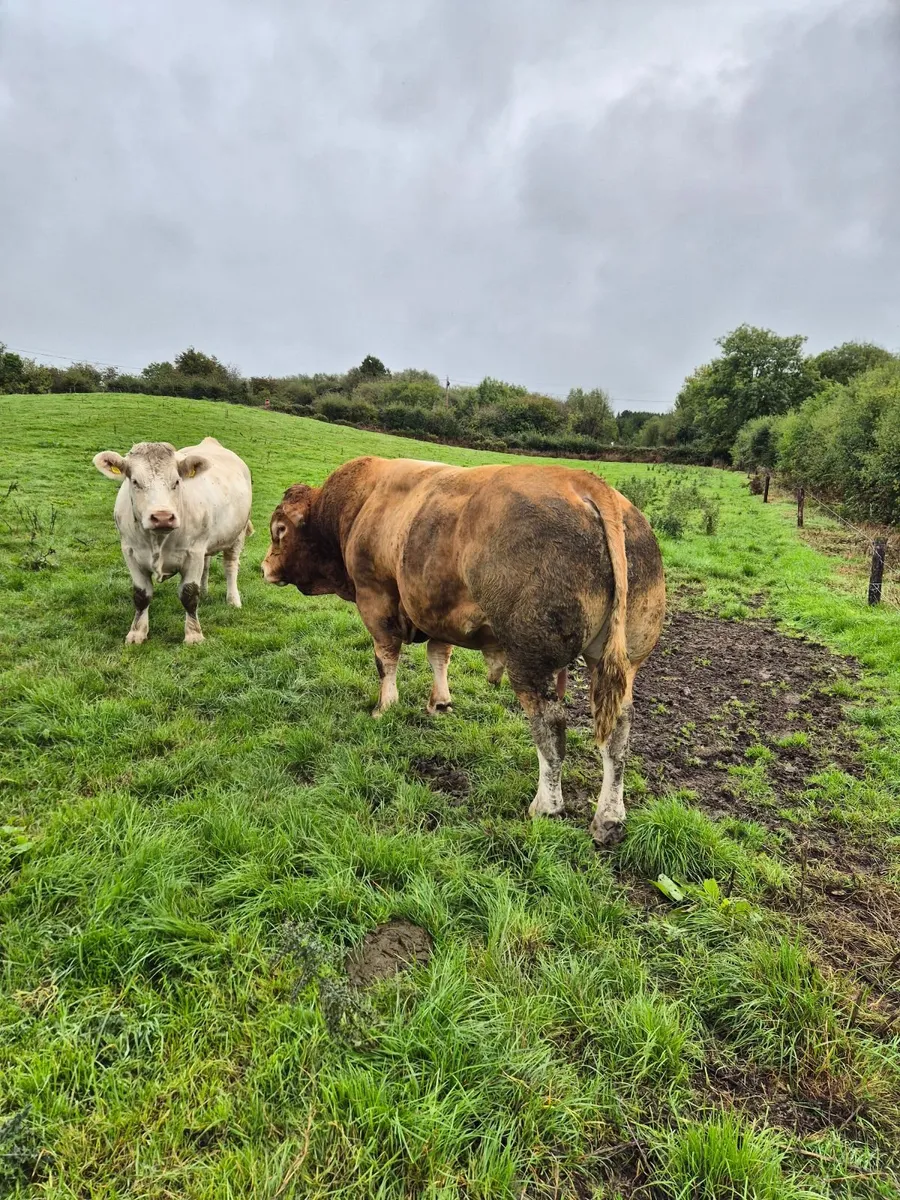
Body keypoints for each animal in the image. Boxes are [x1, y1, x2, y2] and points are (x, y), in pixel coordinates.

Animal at [92, 437, 253, 645]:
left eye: (176, 481)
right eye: (135, 481)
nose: (162, 517)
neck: (157, 540)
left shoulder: (193, 552)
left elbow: (189, 594)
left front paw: (194, 635)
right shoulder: (130, 551)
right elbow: (141, 595)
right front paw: (137, 632)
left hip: (237, 534)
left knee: (230, 566)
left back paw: (233, 600)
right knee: (207, 564)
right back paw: (205, 591)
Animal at [262, 456, 665, 844]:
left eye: (279, 530)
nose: (263, 566)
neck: (357, 505)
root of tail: (586, 483)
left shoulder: (375, 598)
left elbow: (385, 658)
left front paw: (384, 707)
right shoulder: (438, 609)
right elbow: (439, 655)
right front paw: (440, 703)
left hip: (530, 662)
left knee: (550, 725)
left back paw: (546, 806)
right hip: (619, 661)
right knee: (618, 731)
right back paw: (609, 818)